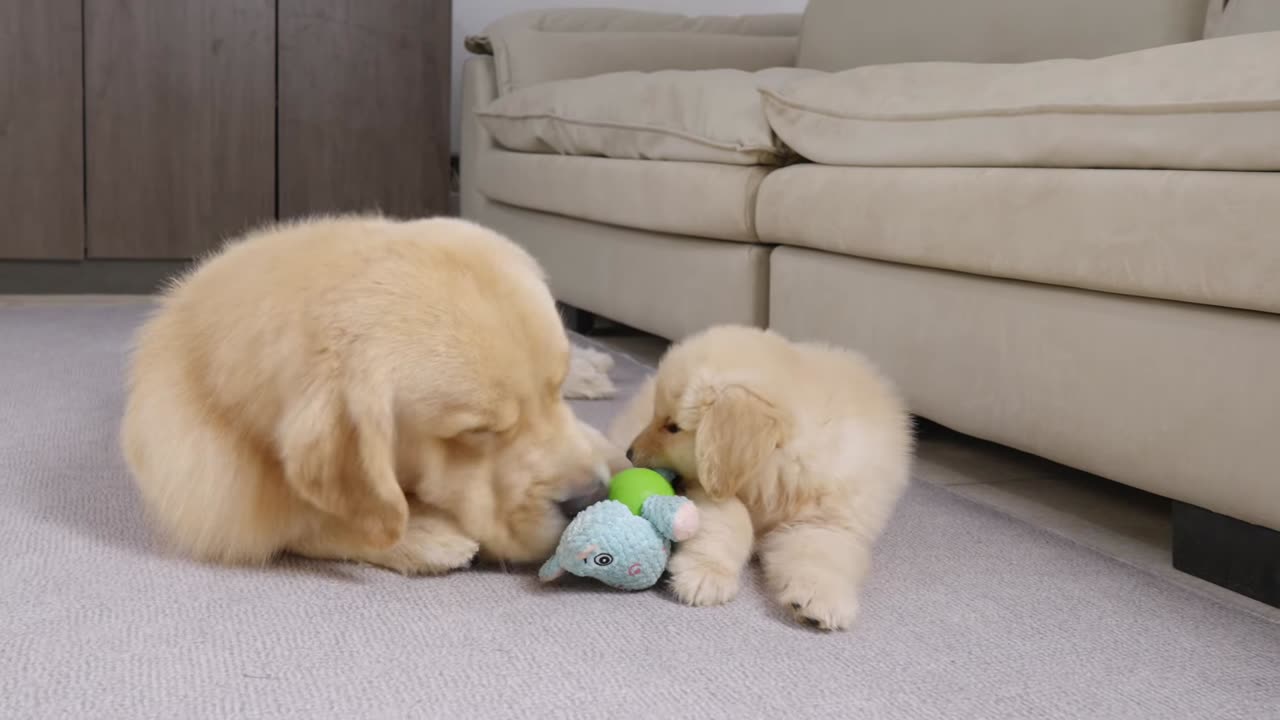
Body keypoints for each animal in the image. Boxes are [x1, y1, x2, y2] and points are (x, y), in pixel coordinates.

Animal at [120, 212, 624, 571]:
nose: (589, 498)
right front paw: (423, 535)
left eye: (552, 392)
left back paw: (594, 368)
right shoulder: (223, 507)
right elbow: (311, 522)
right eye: (476, 432)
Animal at [614, 325, 916, 627]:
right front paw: (705, 574)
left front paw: (820, 600)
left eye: (673, 427)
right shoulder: (706, 487)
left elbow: (820, 553)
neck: (775, 475)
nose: (631, 452)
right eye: (658, 418)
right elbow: (730, 521)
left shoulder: (826, 521)